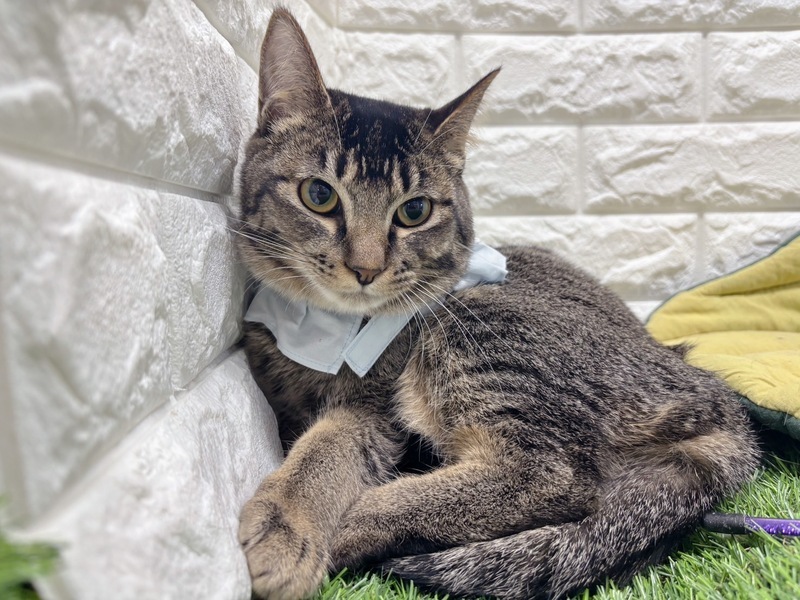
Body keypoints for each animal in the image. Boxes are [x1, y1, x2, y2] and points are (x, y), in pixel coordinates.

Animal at [234, 8, 760, 600]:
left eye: (414, 211)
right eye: (319, 195)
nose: (366, 268)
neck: (320, 330)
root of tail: (723, 406)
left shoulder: (372, 409)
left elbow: (326, 452)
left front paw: (286, 526)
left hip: (477, 328)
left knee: (558, 478)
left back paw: (356, 524)